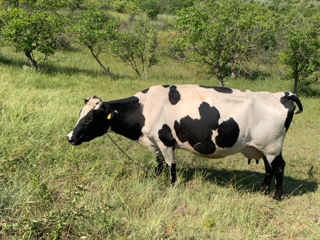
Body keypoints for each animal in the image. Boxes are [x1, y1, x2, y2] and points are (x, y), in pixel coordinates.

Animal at [67, 84, 302, 201]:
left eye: (89, 119)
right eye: (80, 114)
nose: (70, 137)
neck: (146, 107)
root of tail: (282, 95)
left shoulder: (165, 140)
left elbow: (171, 165)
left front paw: (171, 186)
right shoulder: (156, 142)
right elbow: (159, 163)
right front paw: (156, 178)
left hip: (272, 147)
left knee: (279, 167)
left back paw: (277, 196)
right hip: (263, 148)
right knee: (269, 169)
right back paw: (264, 190)